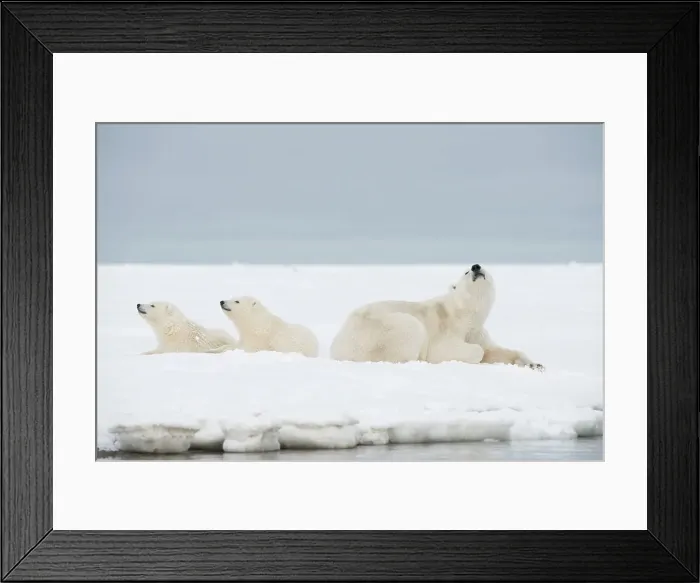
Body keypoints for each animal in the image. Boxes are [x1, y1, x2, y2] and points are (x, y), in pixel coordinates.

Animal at [329, 269, 488, 365]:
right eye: (466, 271)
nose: (476, 267)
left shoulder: (477, 331)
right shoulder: (445, 328)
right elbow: (442, 350)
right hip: (380, 332)